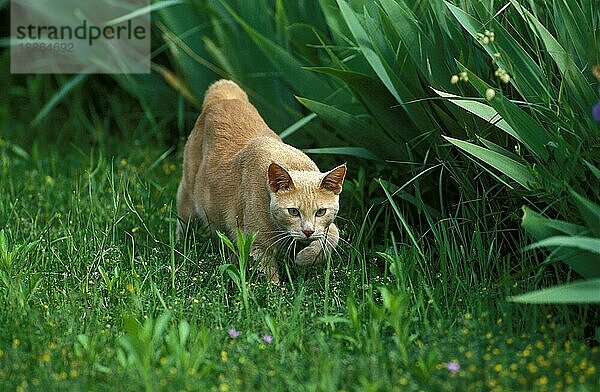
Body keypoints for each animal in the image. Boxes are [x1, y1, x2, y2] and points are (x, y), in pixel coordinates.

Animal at [177, 79, 346, 282]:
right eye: (293, 211)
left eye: (321, 212)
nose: (308, 232)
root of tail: (225, 95)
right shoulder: (254, 240)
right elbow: (269, 277)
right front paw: (273, 289)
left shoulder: (325, 228)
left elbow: (333, 236)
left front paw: (306, 257)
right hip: (188, 194)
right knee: (183, 221)